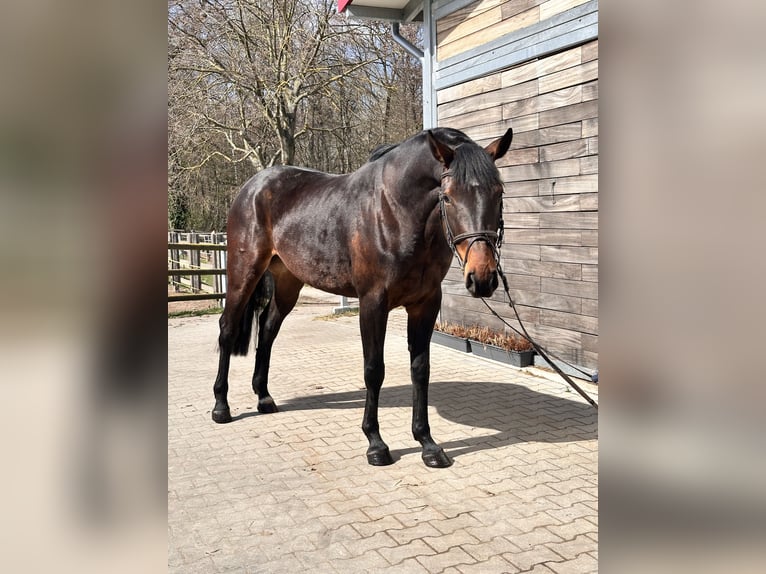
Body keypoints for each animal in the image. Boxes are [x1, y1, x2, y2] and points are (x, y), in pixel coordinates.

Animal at [212, 127, 514, 468]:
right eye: (447, 196)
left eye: (499, 193)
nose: (483, 278)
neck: (396, 212)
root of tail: (252, 187)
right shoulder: (372, 303)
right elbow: (374, 369)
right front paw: (376, 444)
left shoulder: (425, 305)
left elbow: (420, 369)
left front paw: (427, 443)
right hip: (244, 272)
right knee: (227, 328)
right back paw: (221, 406)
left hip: (288, 280)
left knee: (267, 328)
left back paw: (263, 398)